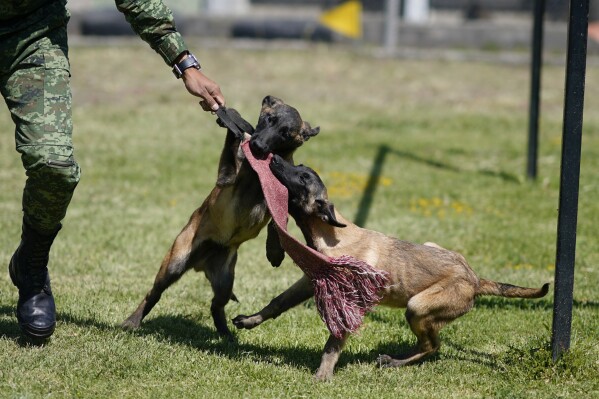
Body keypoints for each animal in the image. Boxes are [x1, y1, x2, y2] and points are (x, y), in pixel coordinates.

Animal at [119, 96, 322, 338]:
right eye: (268, 119)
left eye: (285, 133)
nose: (257, 146)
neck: (256, 174)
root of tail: (201, 263)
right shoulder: (226, 178)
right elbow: (231, 147)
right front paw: (233, 123)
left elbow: (277, 222)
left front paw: (274, 251)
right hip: (174, 263)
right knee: (153, 294)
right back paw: (132, 321)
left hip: (225, 281)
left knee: (216, 305)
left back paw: (226, 334)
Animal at [232, 155, 552, 382]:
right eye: (300, 168)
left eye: (302, 176)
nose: (273, 157)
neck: (332, 234)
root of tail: (474, 279)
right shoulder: (312, 281)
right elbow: (278, 302)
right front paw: (249, 320)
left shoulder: (348, 301)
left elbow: (333, 343)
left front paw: (322, 376)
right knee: (429, 344)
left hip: (418, 306)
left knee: (432, 345)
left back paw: (395, 361)